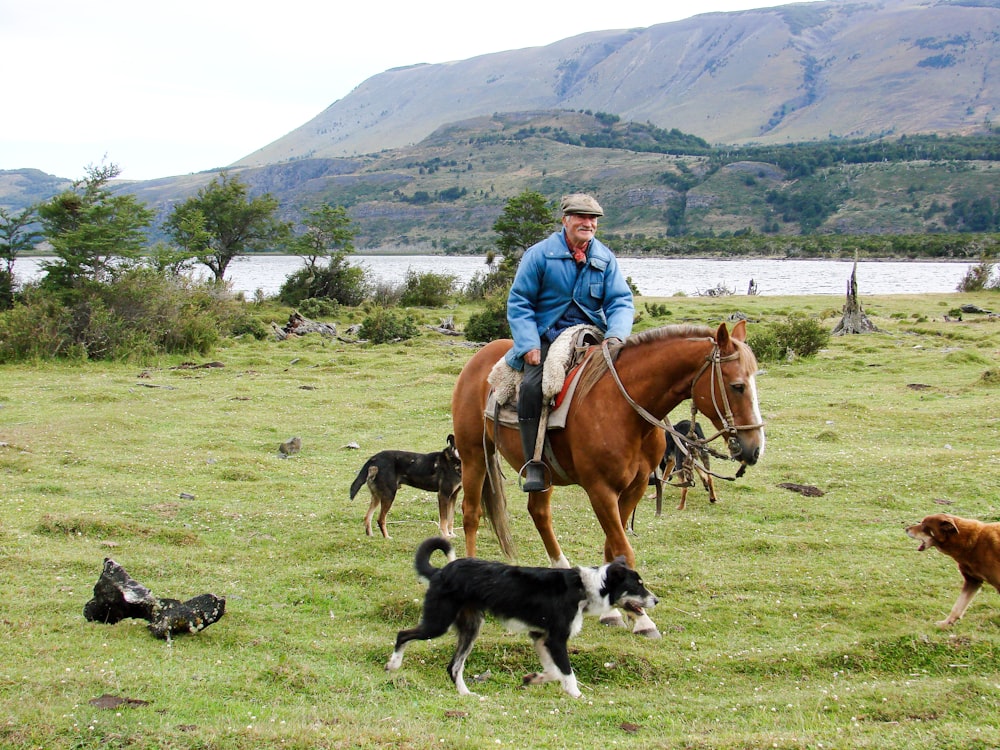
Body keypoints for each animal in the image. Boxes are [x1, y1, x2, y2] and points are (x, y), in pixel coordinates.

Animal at [452, 320, 764, 636]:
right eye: (737, 386)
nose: (754, 448)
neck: (625, 410)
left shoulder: (636, 486)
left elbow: (612, 546)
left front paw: (613, 610)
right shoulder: (600, 490)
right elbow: (624, 548)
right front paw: (640, 617)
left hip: (541, 472)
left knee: (539, 513)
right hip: (473, 454)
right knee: (471, 513)